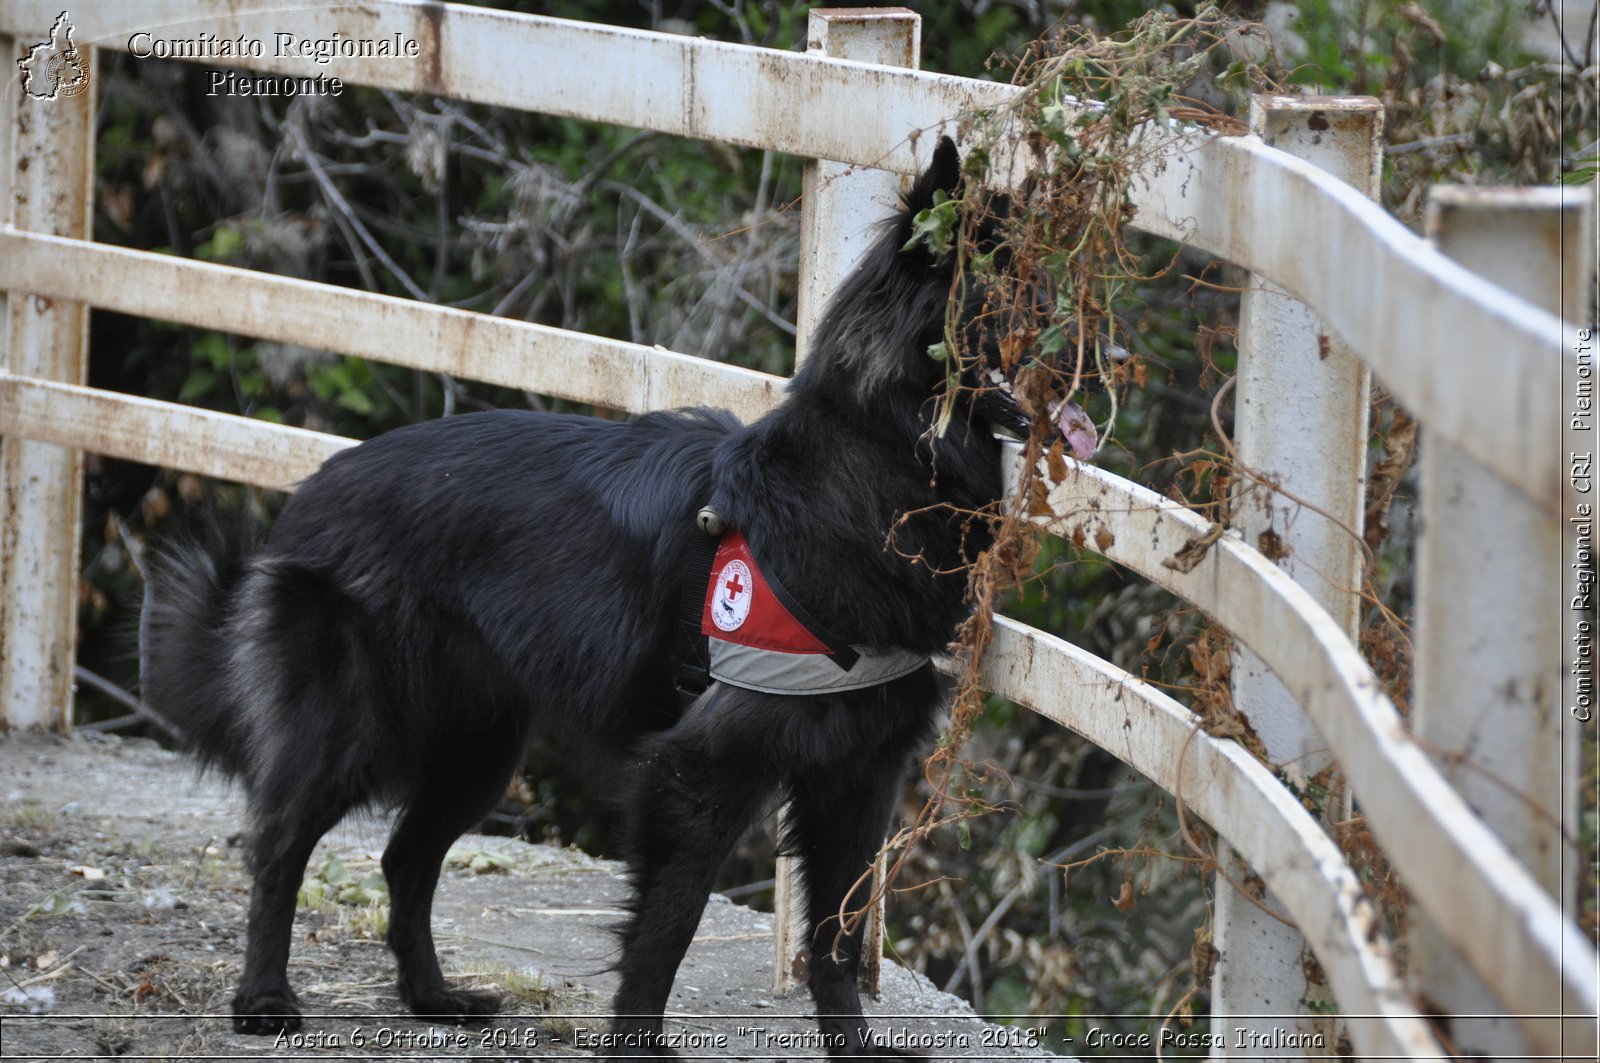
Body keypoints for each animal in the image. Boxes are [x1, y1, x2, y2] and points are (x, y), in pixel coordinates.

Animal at [144, 140, 1043, 1056]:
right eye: (1006, 288)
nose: (1072, 347)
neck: (870, 463)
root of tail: (309, 492)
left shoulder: (858, 776)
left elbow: (837, 933)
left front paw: (852, 1046)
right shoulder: (699, 771)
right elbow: (668, 923)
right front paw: (637, 1041)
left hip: (480, 748)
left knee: (406, 858)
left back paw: (433, 995)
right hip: (355, 729)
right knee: (280, 843)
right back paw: (264, 996)